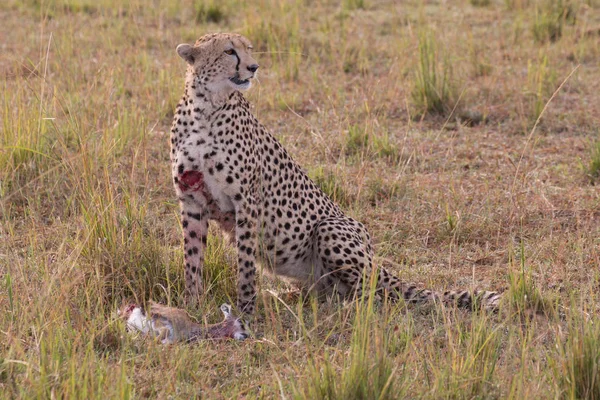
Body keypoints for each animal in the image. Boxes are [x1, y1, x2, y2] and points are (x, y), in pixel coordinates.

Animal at [166, 32, 500, 316]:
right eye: (229, 51)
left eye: (248, 48)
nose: (253, 67)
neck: (205, 108)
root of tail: (374, 258)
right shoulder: (192, 200)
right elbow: (191, 259)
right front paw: (192, 306)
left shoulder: (246, 201)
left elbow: (246, 264)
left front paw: (246, 311)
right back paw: (291, 298)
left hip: (331, 228)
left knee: (373, 294)